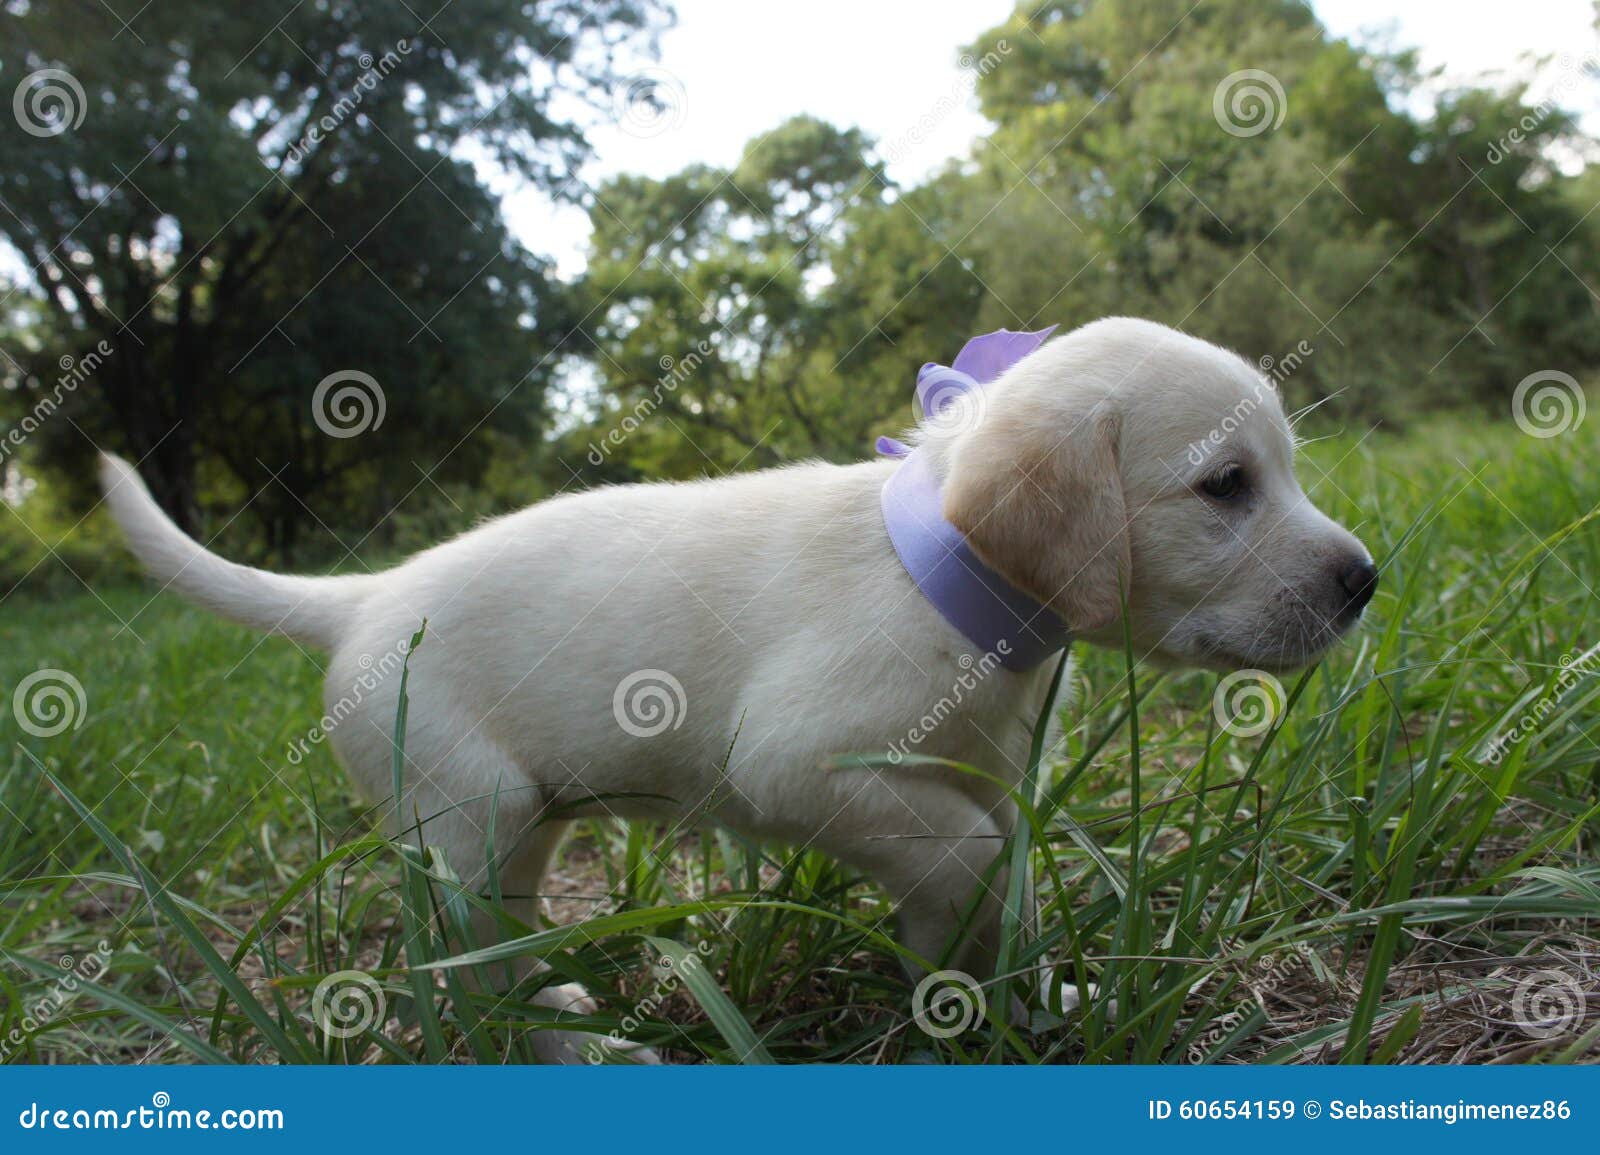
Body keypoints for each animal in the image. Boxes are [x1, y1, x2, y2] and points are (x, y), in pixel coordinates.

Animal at [100, 311, 1376, 1055]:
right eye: (1224, 486)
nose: (1365, 581)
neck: (945, 580)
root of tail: (363, 597)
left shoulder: (989, 775)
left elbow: (1006, 874)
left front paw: (1021, 1006)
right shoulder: (799, 759)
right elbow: (966, 854)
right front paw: (941, 958)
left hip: (520, 826)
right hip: (467, 818)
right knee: (470, 973)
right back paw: (572, 1047)